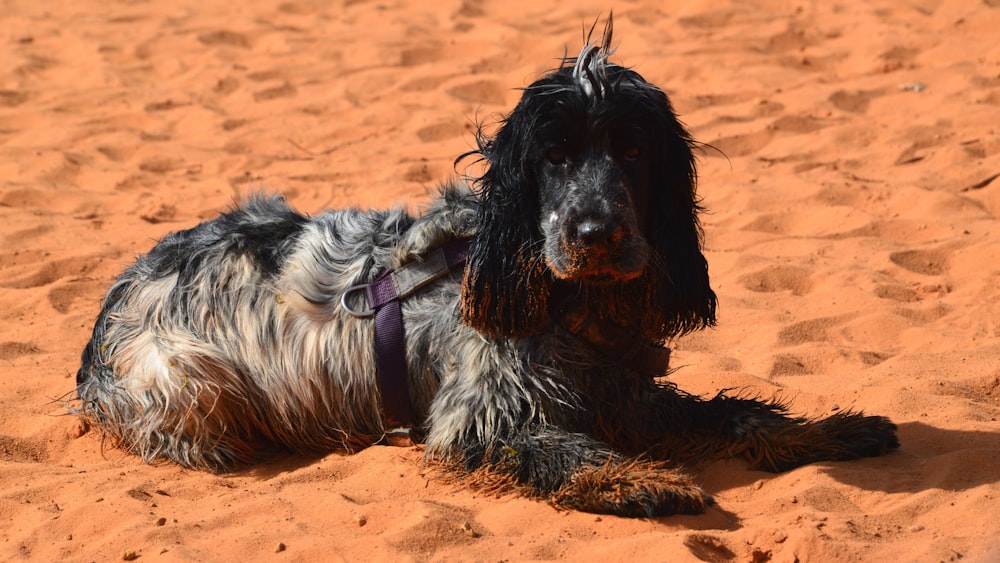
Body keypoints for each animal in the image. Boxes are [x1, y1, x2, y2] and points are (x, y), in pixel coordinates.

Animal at [74, 23, 896, 516]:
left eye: (634, 151)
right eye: (554, 156)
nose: (597, 233)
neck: (571, 305)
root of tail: (115, 297)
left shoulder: (623, 391)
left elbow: (734, 412)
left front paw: (833, 429)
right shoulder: (481, 415)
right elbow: (563, 447)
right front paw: (646, 478)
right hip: (193, 377)